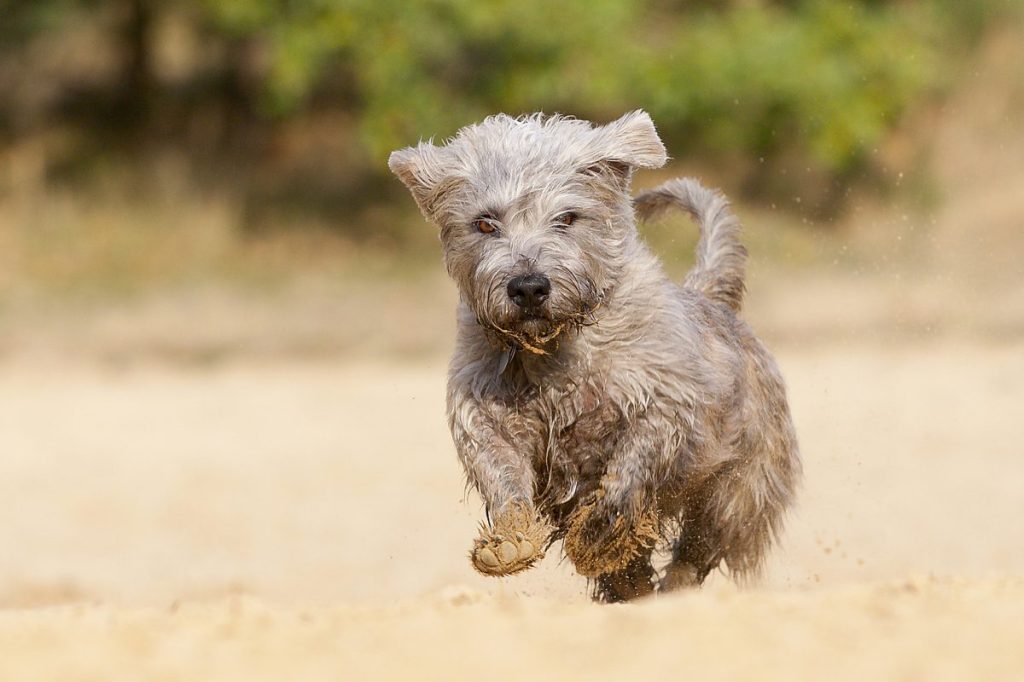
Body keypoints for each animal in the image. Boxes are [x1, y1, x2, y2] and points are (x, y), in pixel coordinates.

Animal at [389, 111, 798, 602]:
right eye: (485, 224)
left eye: (567, 217)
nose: (529, 286)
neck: (556, 351)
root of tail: (711, 297)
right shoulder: (484, 410)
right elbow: (500, 469)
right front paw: (511, 539)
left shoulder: (664, 406)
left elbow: (629, 472)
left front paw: (598, 536)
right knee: (635, 574)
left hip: (739, 491)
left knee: (699, 548)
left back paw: (670, 588)